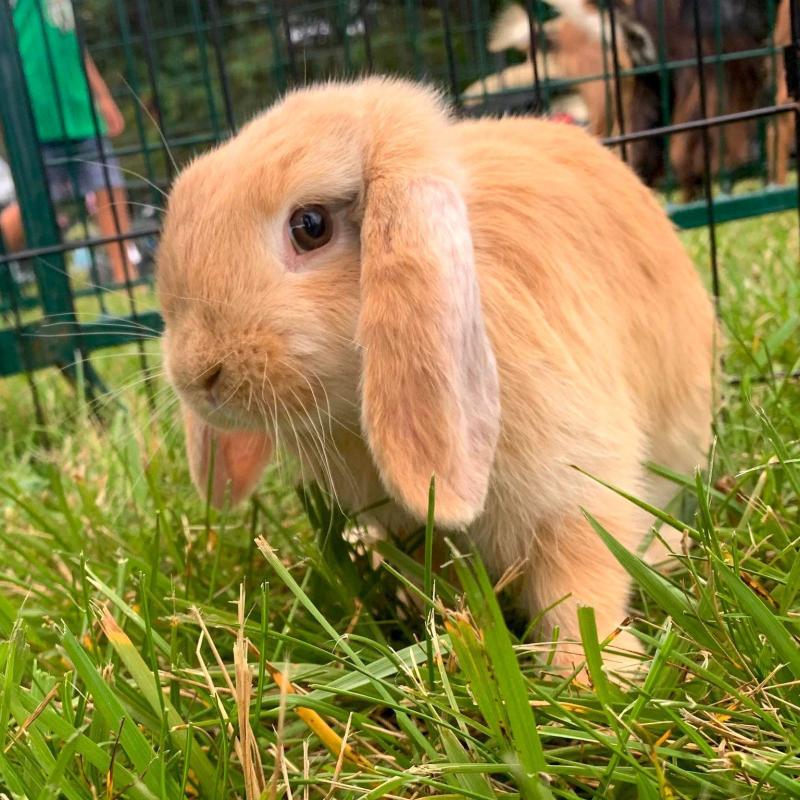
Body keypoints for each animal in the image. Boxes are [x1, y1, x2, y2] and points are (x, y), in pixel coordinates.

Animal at [157, 77, 717, 670]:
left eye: (310, 226)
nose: (198, 373)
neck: (351, 414)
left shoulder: (576, 489)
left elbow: (581, 590)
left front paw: (601, 673)